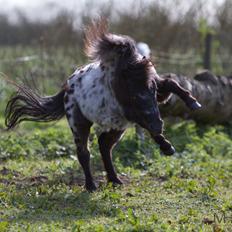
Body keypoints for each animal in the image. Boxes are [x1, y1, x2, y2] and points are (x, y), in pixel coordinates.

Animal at [5, 19, 201, 190]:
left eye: (151, 89)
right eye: (131, 92)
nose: (158, 125)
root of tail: (67, 87)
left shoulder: (155, 91)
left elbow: (170, 83)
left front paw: (193, 103)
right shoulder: (129, 110)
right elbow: (144, 120)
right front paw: (166, 146)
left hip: (117, 126)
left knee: (104, 145)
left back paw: (115, 179)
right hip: (80, 123)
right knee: (84, 153)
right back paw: (91, 185)